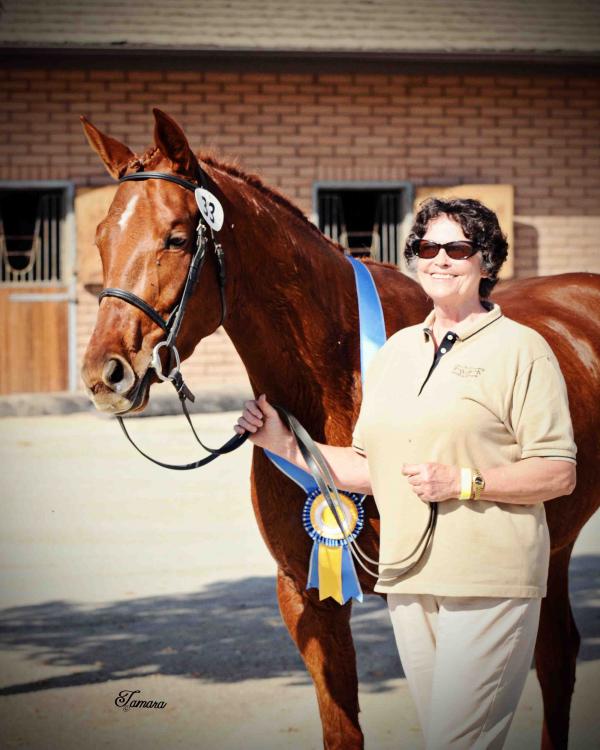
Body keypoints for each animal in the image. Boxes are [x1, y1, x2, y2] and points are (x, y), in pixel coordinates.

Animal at [81, 111, 600, 750]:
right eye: (101, 238)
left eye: (177, 238)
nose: (105, 374)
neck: (339, 377)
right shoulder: (306, 597)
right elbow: (341, 726)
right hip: (553, 549)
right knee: (556, 654)